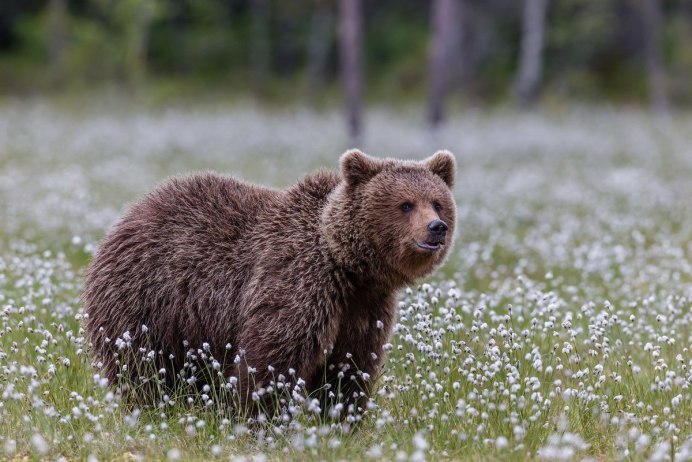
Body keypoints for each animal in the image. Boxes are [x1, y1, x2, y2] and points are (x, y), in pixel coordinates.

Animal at [84, 150, 456, 416]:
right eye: (405, 204)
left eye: (438, 202)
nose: (436, 227)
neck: (348, 267)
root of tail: (127, 216)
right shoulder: (299, 280)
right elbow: (274, 357)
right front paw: (264, 418)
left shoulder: (364, 306)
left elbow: (350, 367)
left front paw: (342, 420)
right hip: (149, 301)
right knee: (141, 366)